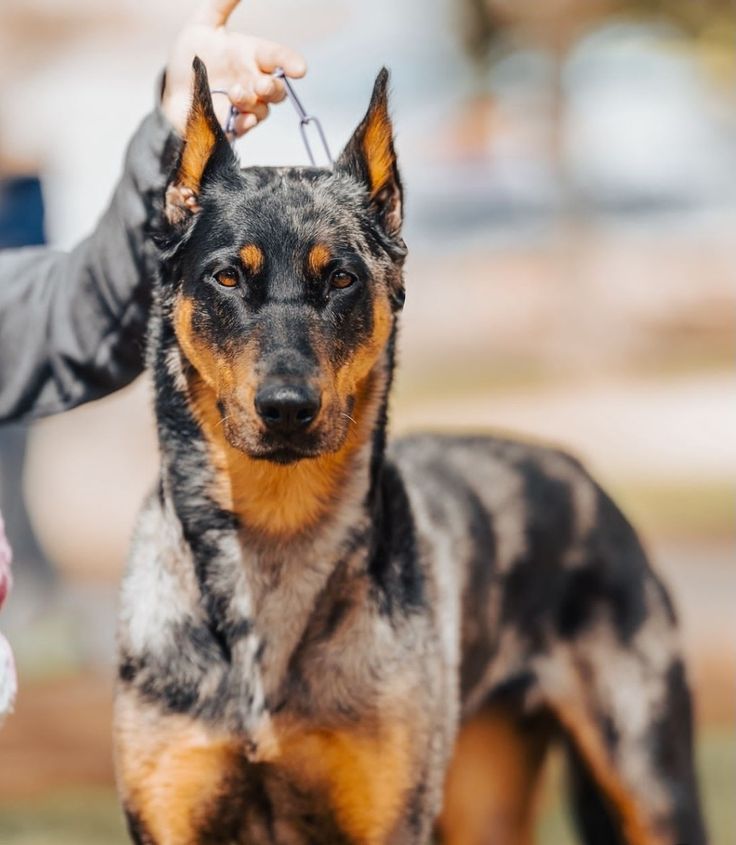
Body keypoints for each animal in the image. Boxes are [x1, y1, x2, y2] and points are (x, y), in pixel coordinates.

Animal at [113, 61, 708, 844]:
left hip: (649, 778)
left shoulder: (388, 816)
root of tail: (579, 473)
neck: (274, 536)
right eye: (227, 277)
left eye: (342, 278)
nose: (288, 408)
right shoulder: (171, 809)